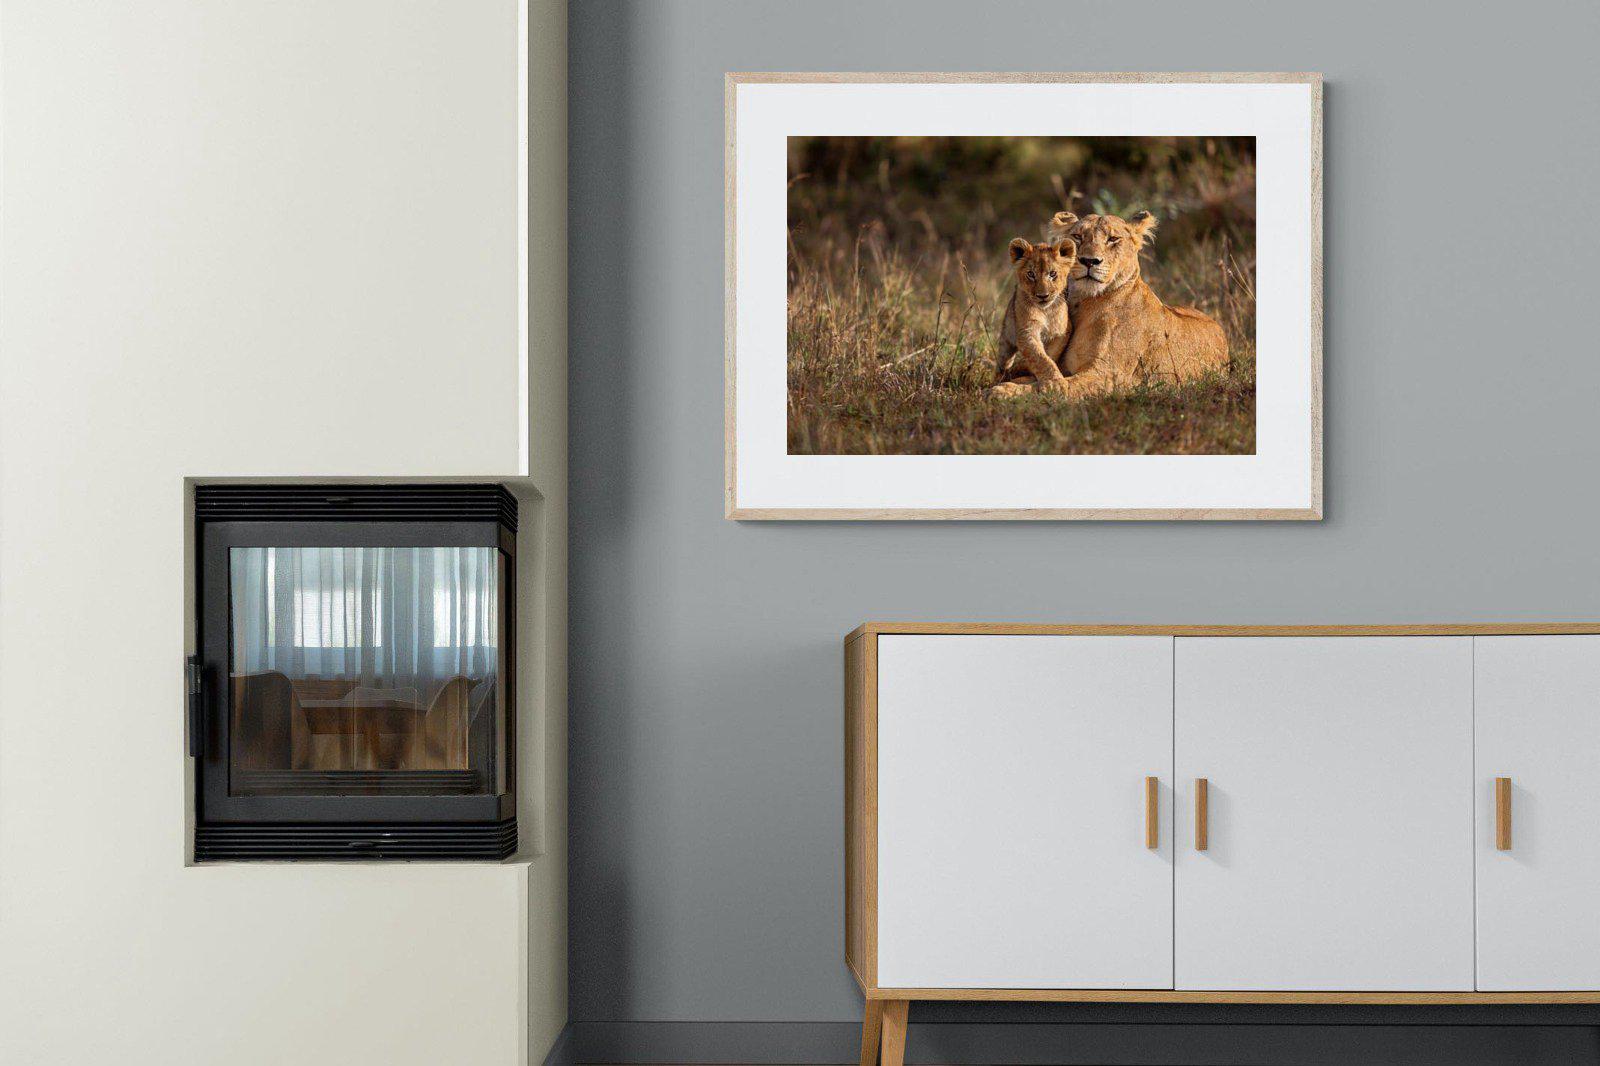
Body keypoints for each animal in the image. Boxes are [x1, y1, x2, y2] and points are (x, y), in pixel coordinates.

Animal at [991, 235, 1076, 392]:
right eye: (1031, 274)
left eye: (1052, 274)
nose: (1043, 296)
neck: (1046, 311)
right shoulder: (1026, 331)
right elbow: (1040, 357)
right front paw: (1054, 383)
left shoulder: (1062, 332)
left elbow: (1049, 355)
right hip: (1006, 337)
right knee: (1002, 362)